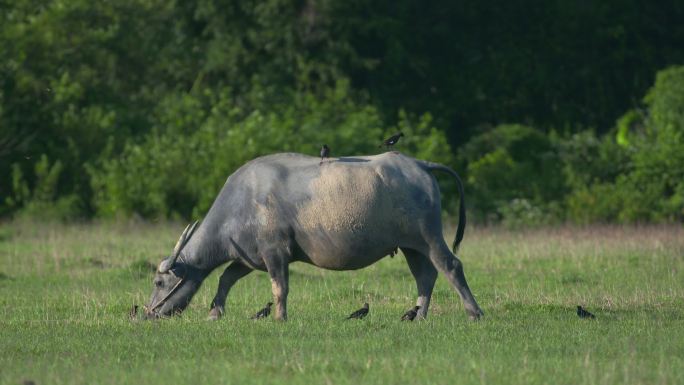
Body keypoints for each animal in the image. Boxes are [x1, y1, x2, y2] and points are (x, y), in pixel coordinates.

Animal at [143, 152, 486, 320]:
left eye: (159, 282)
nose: (145, 314)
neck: (243, 203)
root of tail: (419, 165)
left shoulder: (275, 254)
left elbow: (279, 288)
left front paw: (279, 317)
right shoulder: (250, 258)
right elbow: (226, 278)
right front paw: (215, 313)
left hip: (428, 236)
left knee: (450, 266)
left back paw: (474, 312)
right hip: (410, 245)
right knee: (426, 275)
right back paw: (419, 315)